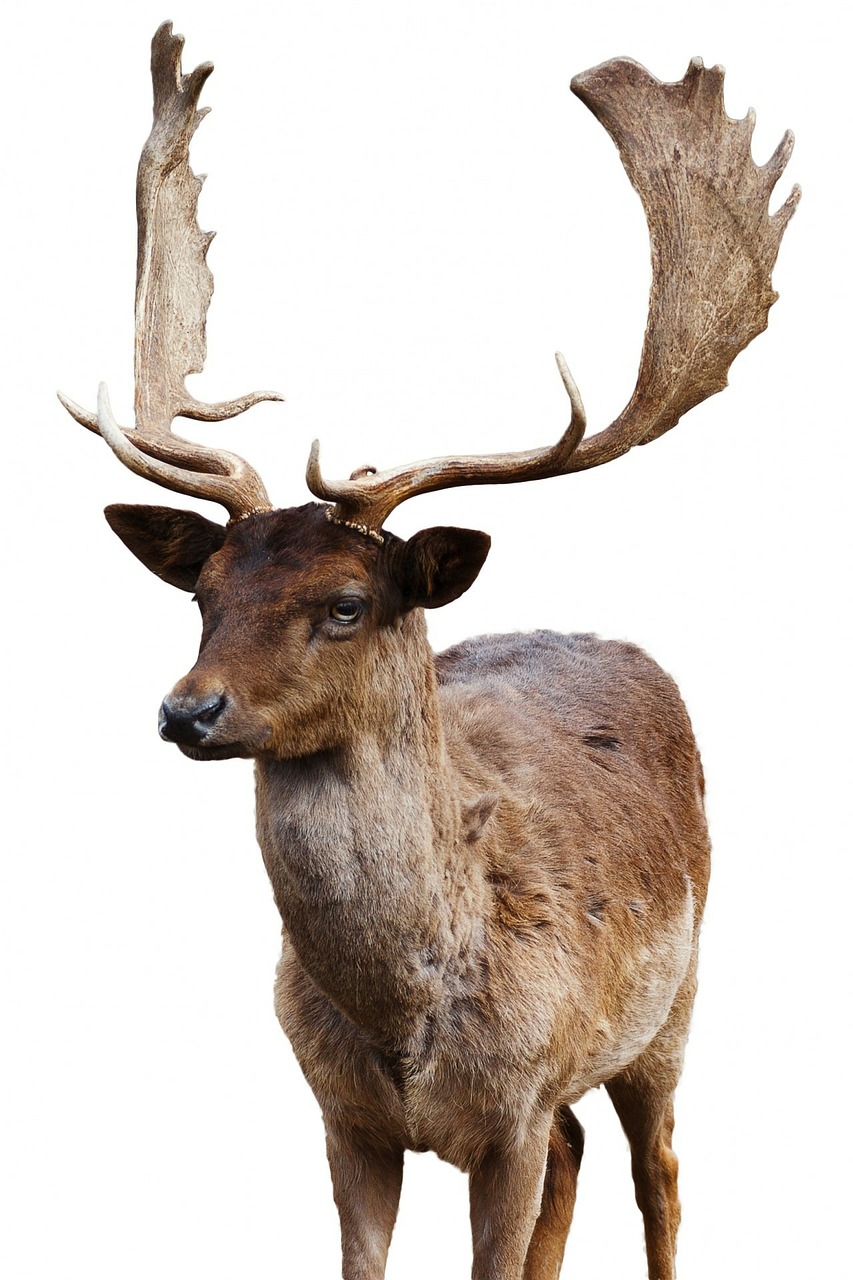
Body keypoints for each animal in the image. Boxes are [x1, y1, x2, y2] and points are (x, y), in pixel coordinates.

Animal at [60, 23, 798, 1280]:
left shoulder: (515, 1101)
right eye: (202, 592)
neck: (408, 1027)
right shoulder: (341, 1115)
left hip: (675, 997)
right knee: (578, 1159)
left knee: (658, 1170)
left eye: (348, 601)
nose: (188, 710)